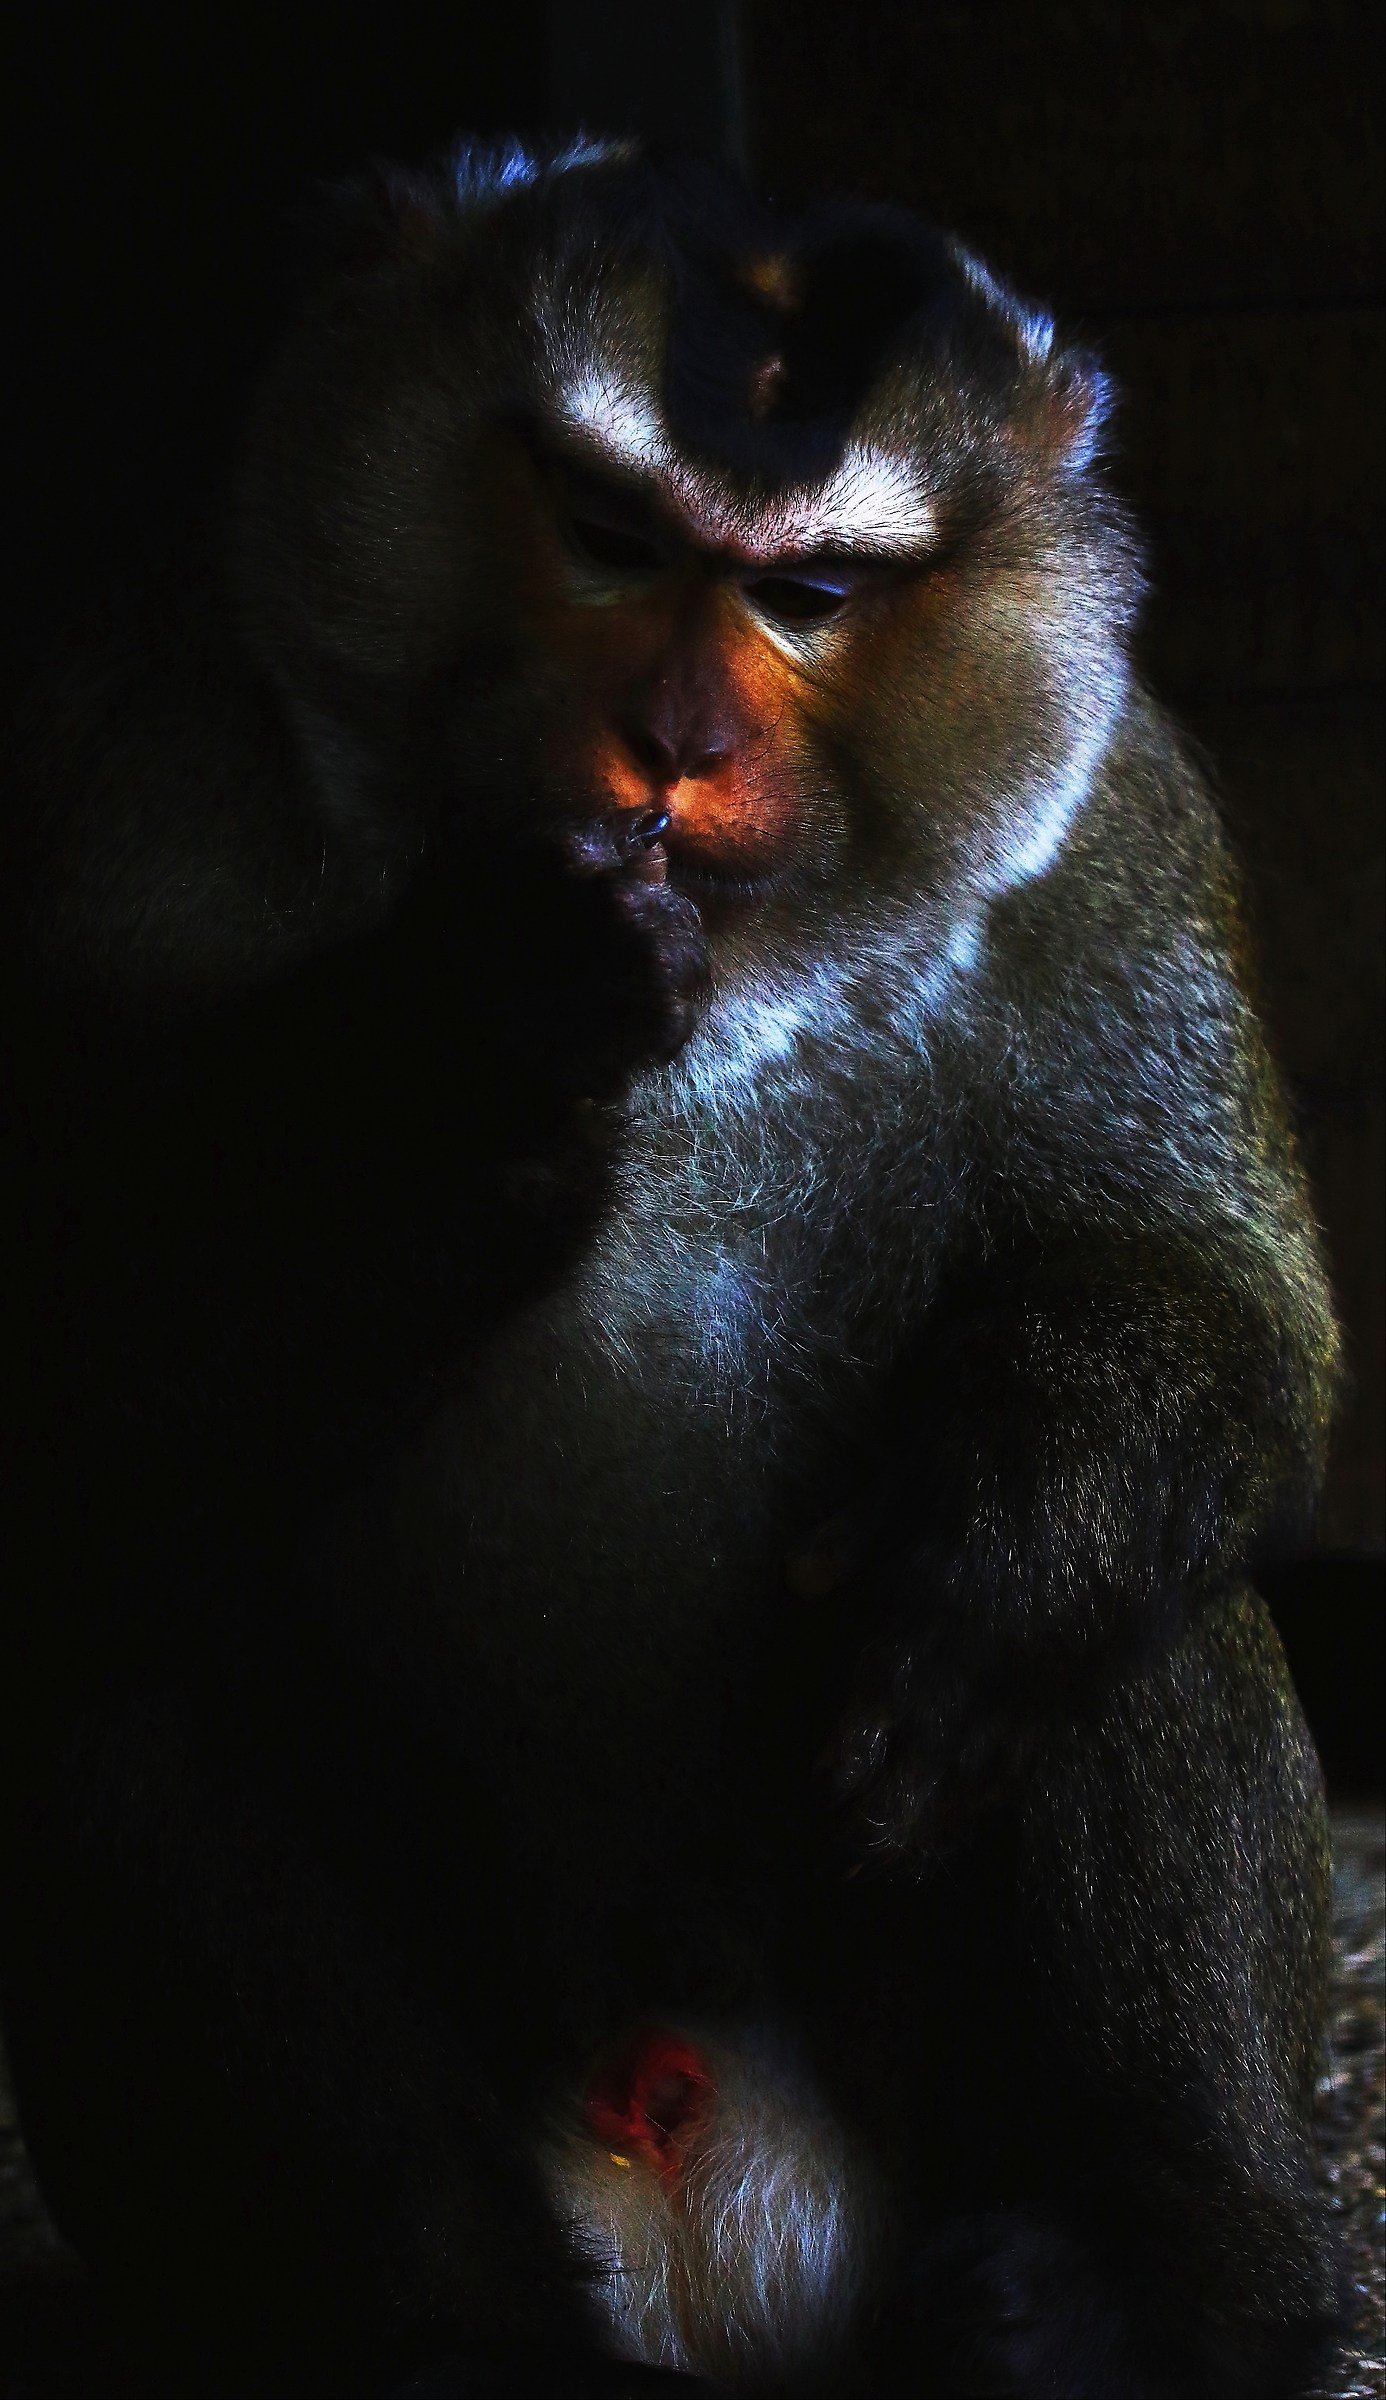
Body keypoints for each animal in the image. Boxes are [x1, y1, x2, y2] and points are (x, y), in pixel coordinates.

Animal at [0, 138, 1348, 2397]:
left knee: (1117, 1611)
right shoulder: (133, 763)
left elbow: (1219, 1311)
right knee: (99, 1620)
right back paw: (434, 2314)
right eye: (613, 540)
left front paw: (1029, 1516)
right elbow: (59, 1352)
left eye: (809, 597)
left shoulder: (1112, 825)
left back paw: (1135, 2286)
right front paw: (448, 1065)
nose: (676, 744)